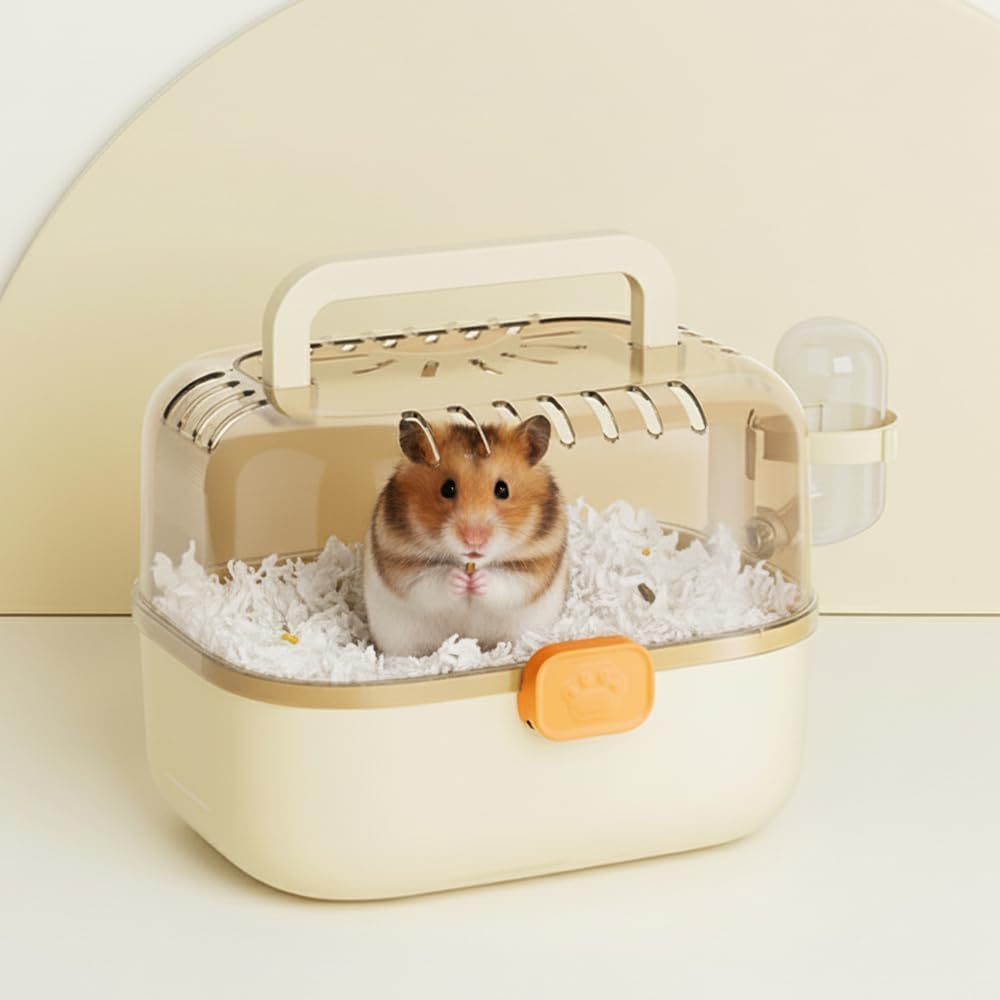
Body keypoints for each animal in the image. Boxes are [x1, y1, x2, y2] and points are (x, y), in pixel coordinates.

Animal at [363, 415, 568, 657]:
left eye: (503, 489)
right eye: (447, 488)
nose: (474, 540)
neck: (470, 564)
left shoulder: (536, 565)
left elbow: (507, 583)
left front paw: (476, 580)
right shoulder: (401, 564)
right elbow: (431, 581)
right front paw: (461, 579)